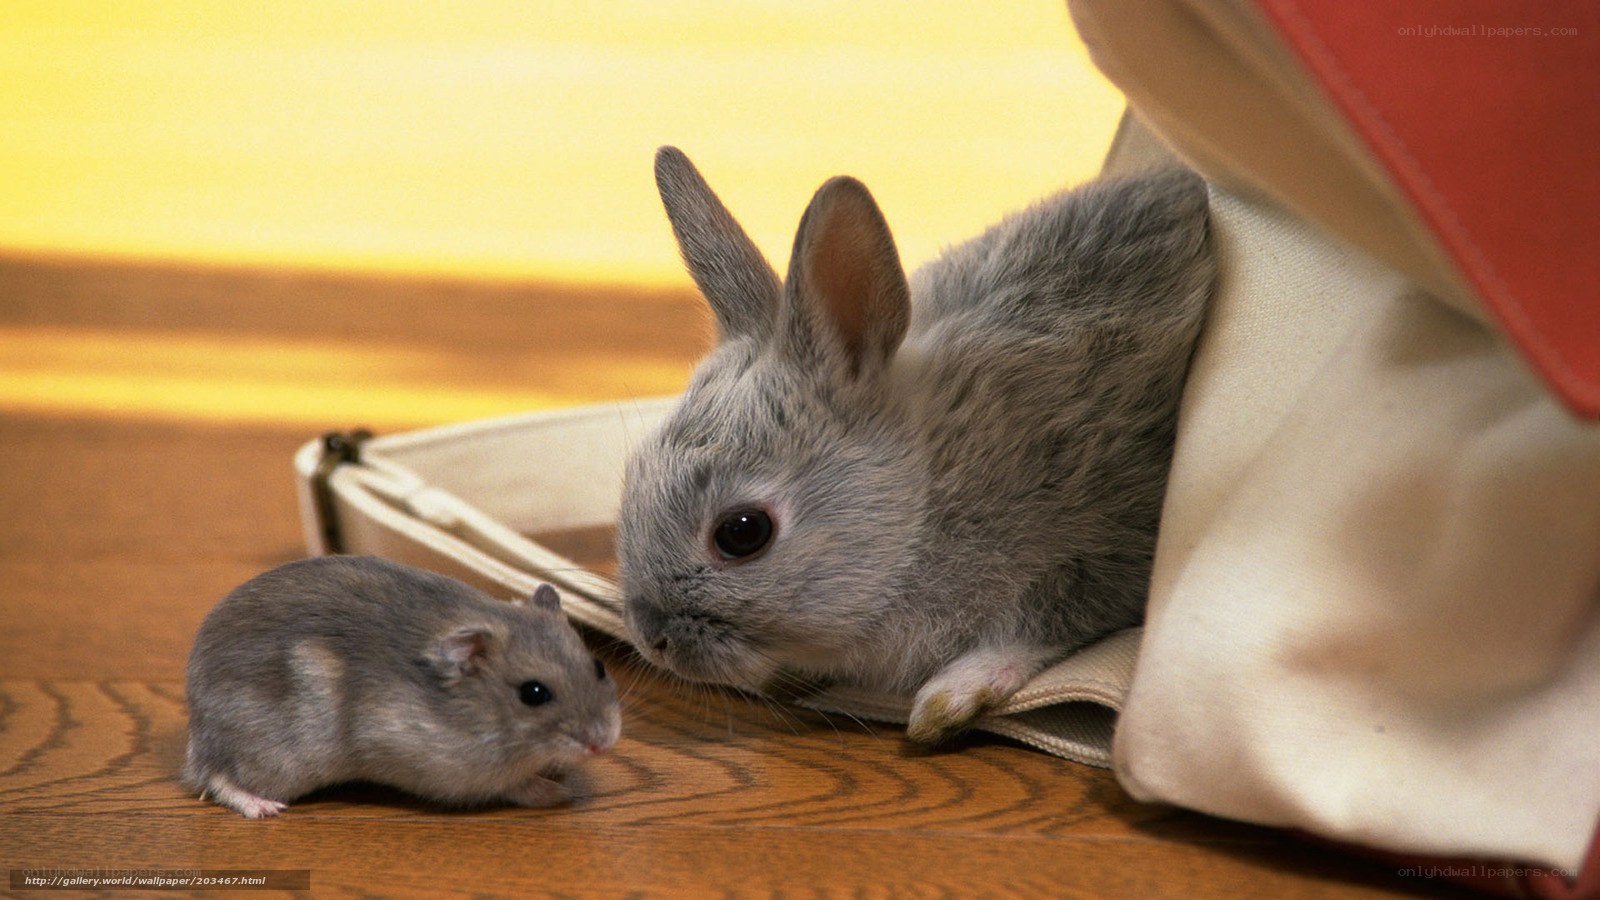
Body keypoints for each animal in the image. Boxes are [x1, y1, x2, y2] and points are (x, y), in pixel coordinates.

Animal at [183, 555, 621, 818]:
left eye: (599, 667)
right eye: (533, 694)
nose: (604, 743)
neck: (481, 715)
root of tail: (197, 727)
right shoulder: (447, 770)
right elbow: (513, 784)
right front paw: (556, 793)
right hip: (277, 758)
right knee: (218, 778)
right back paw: (265, 808)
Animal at [616, 146, 1213, 743]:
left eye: (742, 533)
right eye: (632, 476)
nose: (652, 639)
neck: (925, 499)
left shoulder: (1104, 534)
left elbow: (1039, 626)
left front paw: (948, 699)